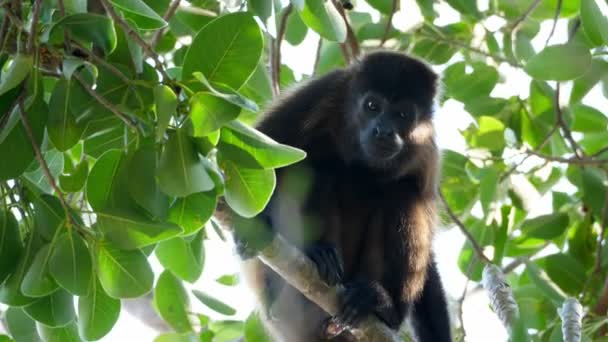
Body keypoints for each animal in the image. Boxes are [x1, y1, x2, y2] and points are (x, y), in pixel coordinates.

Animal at [233, 51, 452, 342]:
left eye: (403, 114)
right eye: (372, 106)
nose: (384, 131)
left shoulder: (426, 150)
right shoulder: (325, 91)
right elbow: (264, 150)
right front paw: (255, 226)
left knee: (402, 192)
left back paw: (381, 305)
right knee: (316, 166)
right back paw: (319, 253)